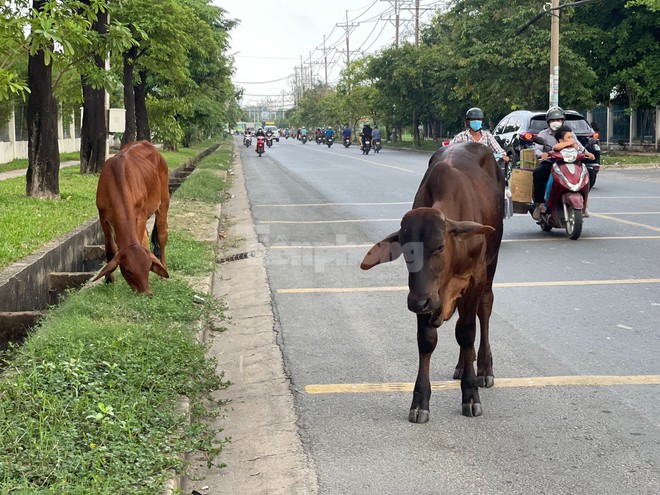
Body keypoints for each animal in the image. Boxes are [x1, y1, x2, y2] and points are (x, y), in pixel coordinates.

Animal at [94, 140, 170, 294]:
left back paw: (163, 271)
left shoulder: (140, 213)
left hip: (164, 202)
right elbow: (110, 249)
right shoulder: (103, 217)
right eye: (128, 270)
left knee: (162, 233)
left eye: (147, 267)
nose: (147, 293)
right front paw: (109, 280)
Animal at [360, 141, 506, 424]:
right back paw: (462, 366)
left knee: (484, 310)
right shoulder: (421, 293)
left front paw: (470, 395)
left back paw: (483, 369)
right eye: (406, 249)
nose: (419, 302)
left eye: (439, 246)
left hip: (491, 264)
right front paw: (420, 401)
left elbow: (467, 332)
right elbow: (427, 340)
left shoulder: (475, 278)